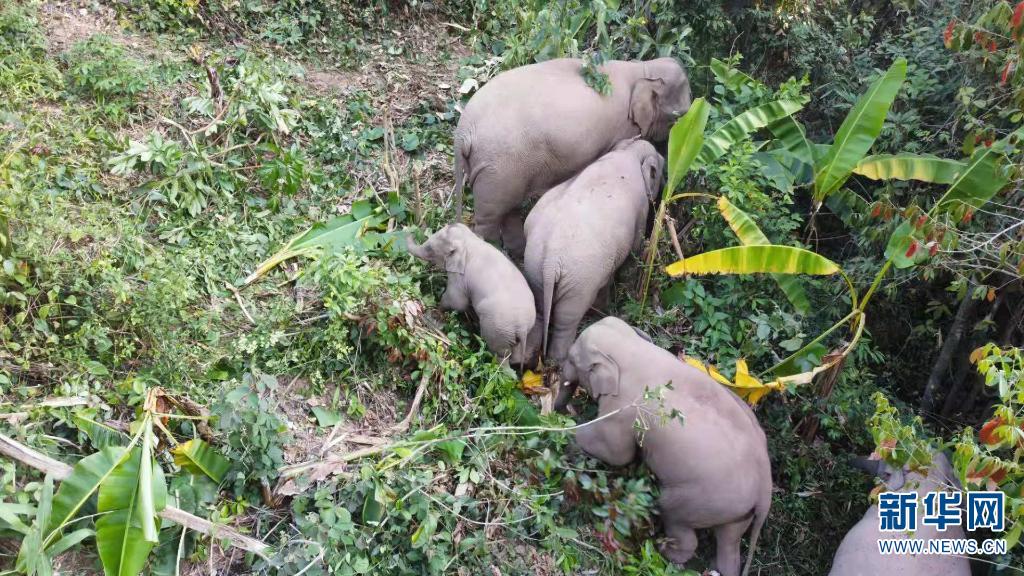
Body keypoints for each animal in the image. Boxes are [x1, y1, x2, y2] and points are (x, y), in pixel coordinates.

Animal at [405, 222, 540, 364]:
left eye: (430, 249)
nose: (410, 229)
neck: (469, 240)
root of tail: (522, 328)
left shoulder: (460, 276)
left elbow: (457, 301)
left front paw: (436, 310)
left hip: (497, 330)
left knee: (500, 354)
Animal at [452, 57, 692, 254]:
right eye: (677, 117)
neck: (643, 68)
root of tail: (464, 131)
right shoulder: (622, 129)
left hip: (503, 171)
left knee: (508, 209)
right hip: (497, 169)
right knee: (489, 218)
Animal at [520, 138, 663, 360]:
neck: (628, 152)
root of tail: (551, 261)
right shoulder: (641, 211)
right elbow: (634, 251)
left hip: (534, 268)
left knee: (541, 309)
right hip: (581, 280)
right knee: (567, 318)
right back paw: (558, 358)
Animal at [561, 313, 770, 573]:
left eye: (572, 358)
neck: (631, 348)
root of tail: (765, 491)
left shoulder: (624, 410)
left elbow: (615, 452)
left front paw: (559, 429)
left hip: (706, 499)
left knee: (672, 512)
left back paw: (664, 550)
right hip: (738, 511)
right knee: (729, 542)